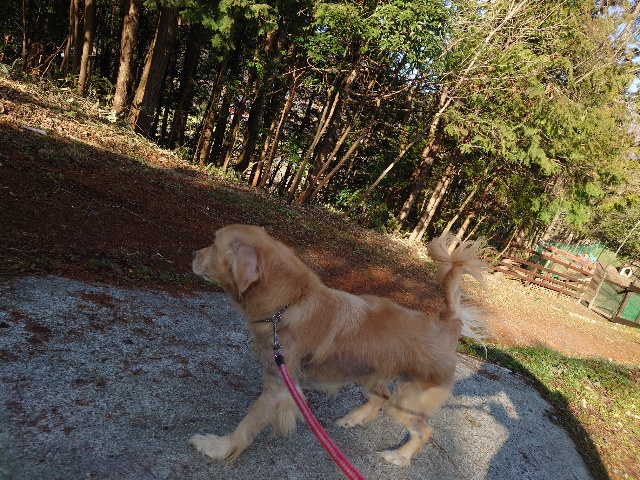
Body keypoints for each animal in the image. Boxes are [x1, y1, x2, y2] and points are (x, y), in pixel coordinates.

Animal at [190, 224, 487, 467]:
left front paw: (218, 446)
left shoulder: (280, 388)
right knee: (382, 396)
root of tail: (448, 326)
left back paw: (400, 456)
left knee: (423, 429)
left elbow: (248, 424)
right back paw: (355, 417)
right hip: (363, 371)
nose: (193, 254)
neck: (289, 302)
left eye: (214, 244)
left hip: (405, 402)